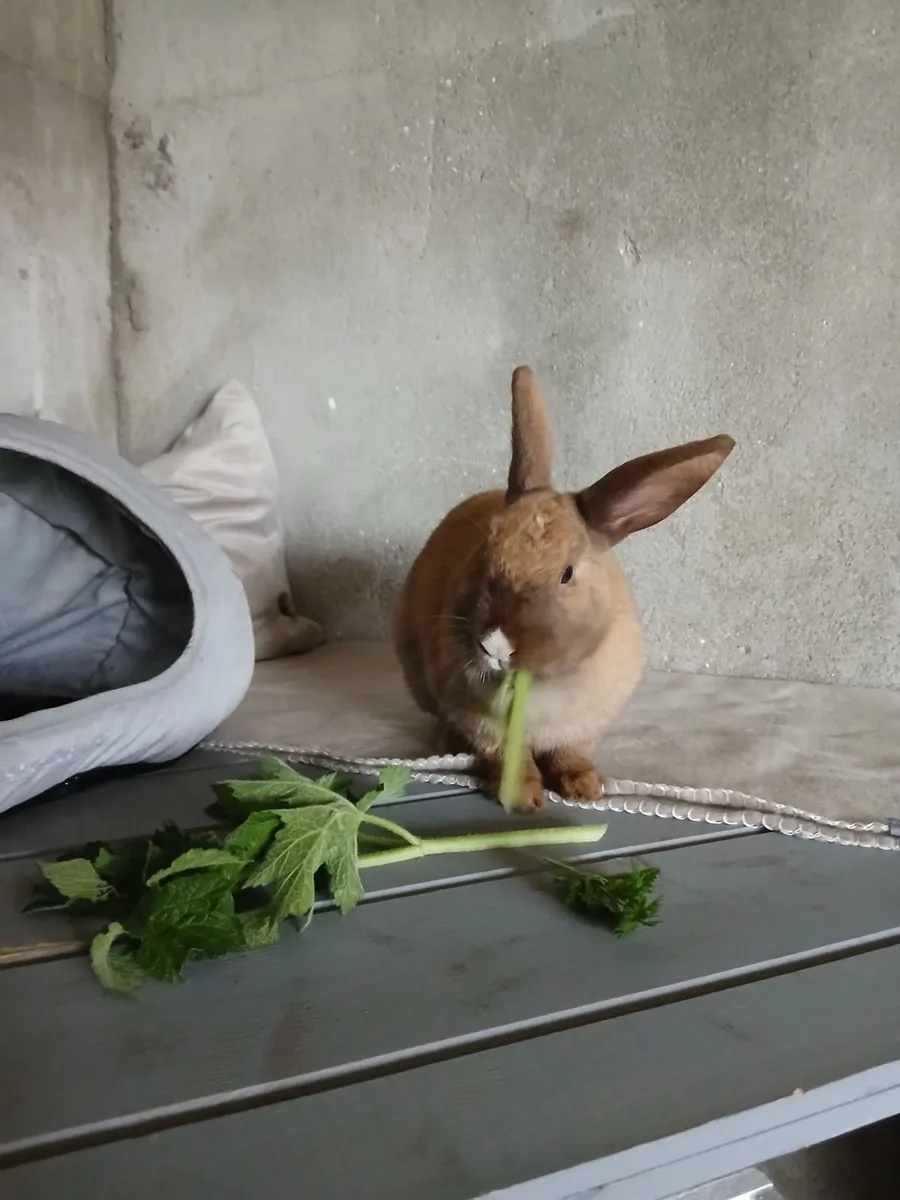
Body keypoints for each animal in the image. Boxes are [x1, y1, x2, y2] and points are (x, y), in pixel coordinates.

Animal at [392, 366, 734, 812]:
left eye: (566, 574)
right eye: (486, 547)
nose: (495, 644)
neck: (538, 685)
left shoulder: (584, 727)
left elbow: (569, 754)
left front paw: (585, 787)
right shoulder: (486, 729)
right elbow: (509, 759)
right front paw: (522, 798)